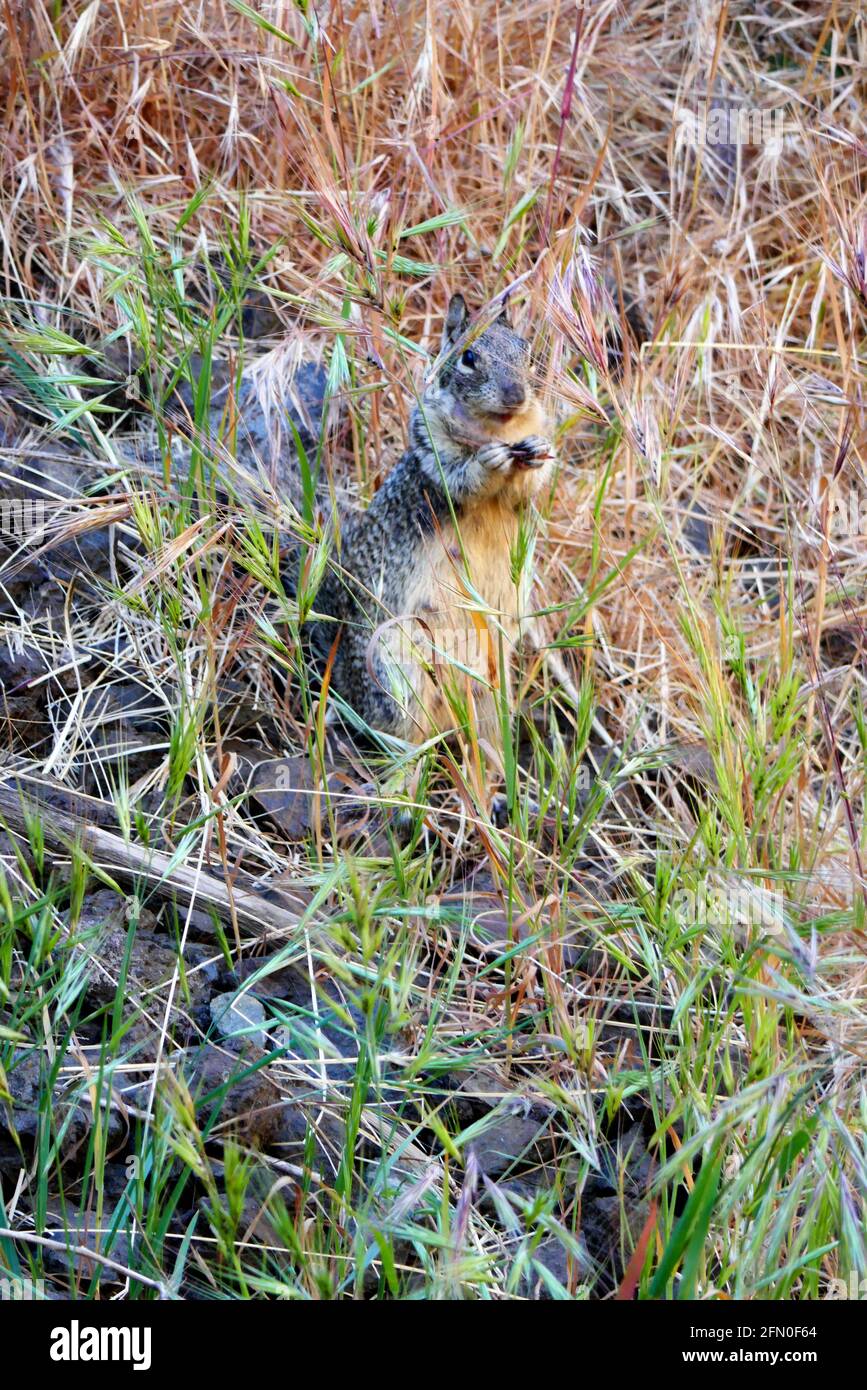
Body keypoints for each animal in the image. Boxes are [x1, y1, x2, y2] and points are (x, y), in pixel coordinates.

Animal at [311, 296, 555, 750]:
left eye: (529, 353)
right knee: (397, 731)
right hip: (395, 673)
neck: (496, 430)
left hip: (491, 686)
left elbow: (531, 484)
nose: (516, 394)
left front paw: (533, 450)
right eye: (469, 357)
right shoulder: (431, 453)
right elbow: (460, 478)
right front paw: (487, 462)